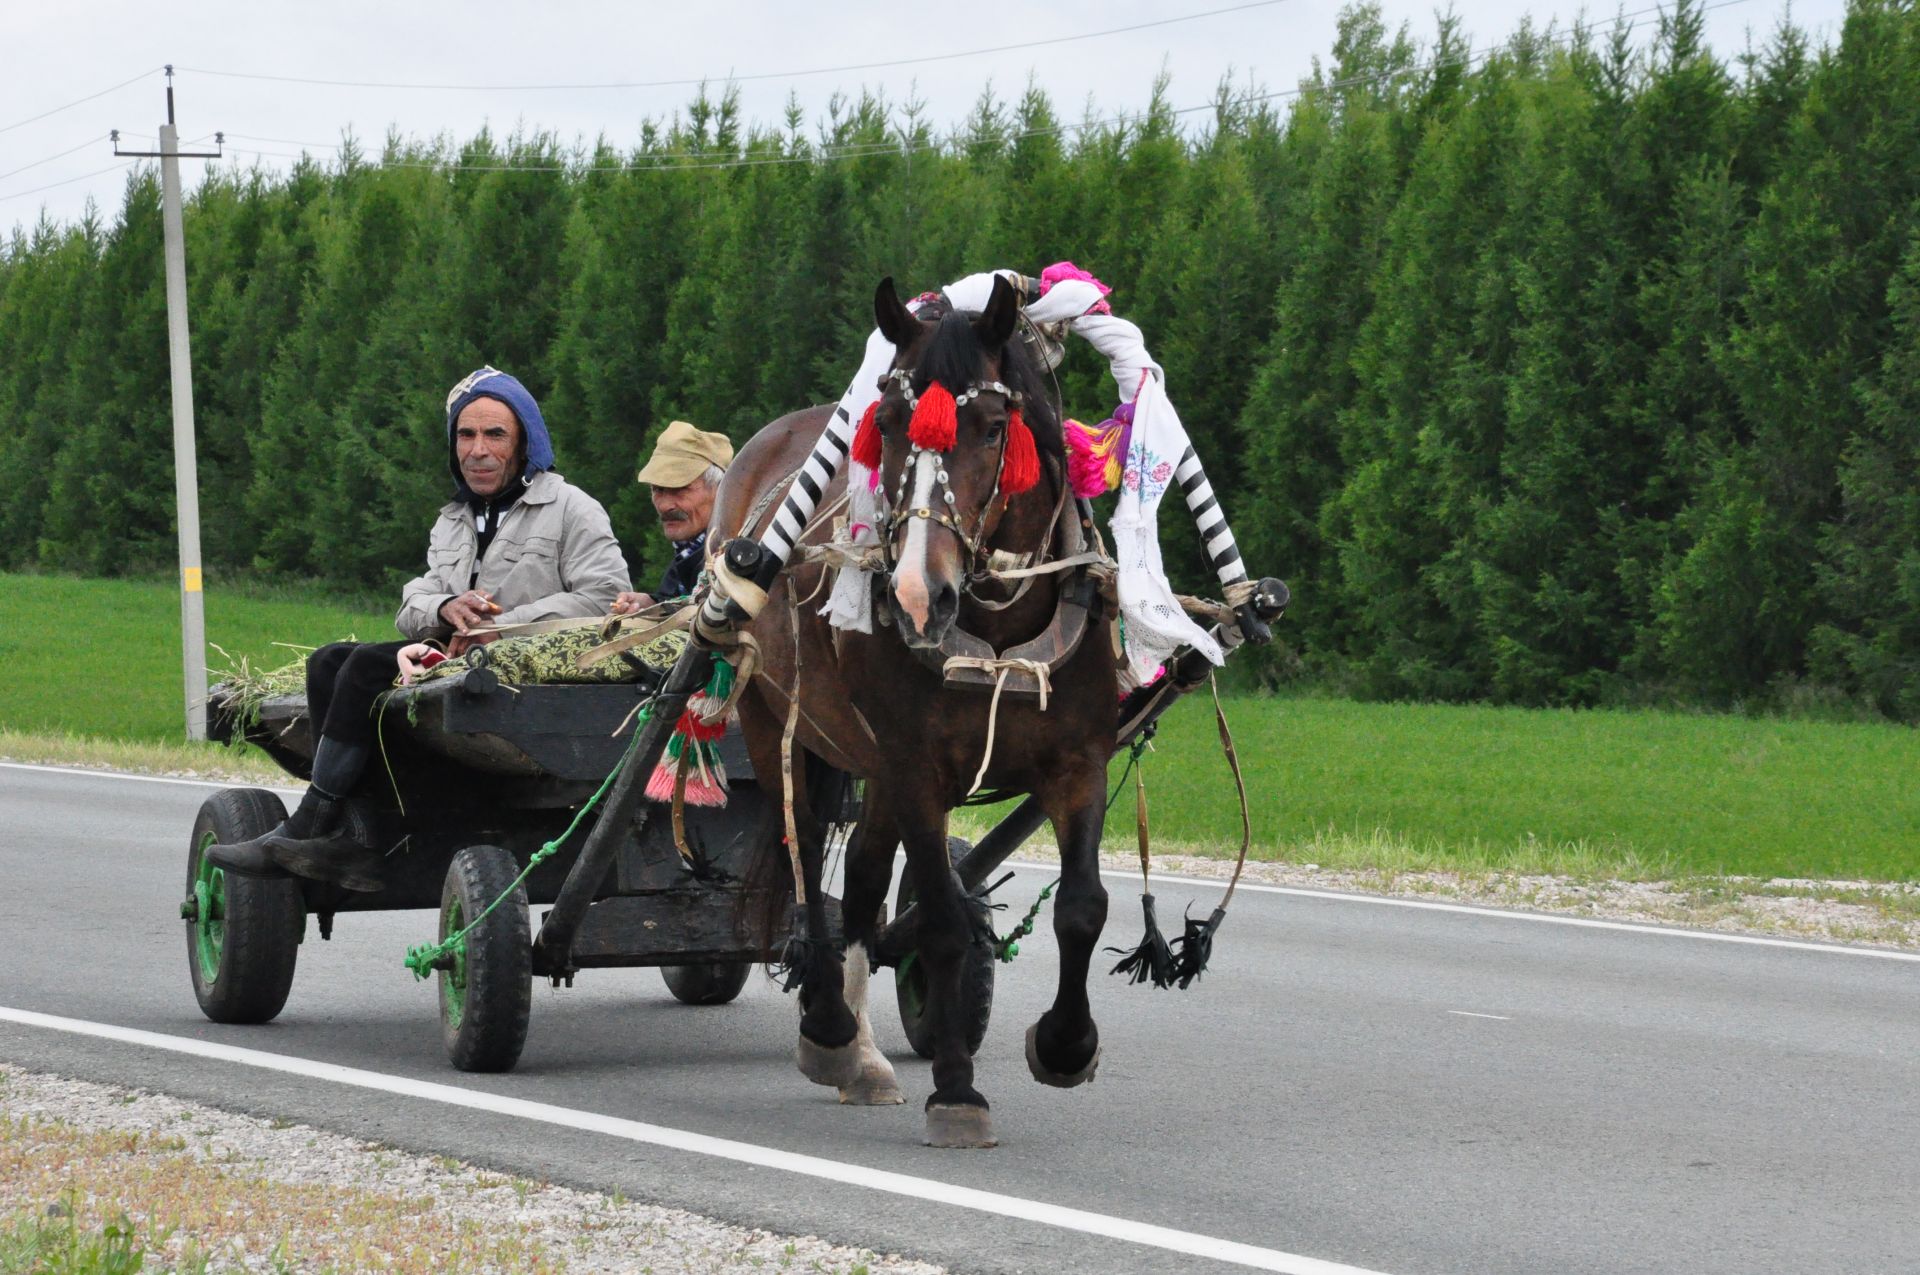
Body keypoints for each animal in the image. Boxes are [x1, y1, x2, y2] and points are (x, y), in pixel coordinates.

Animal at [714, 274, 1121, 1152]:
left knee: (864, 886)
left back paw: (860, 1053)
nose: (913, 592)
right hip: (775, 719)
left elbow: (1081, 907)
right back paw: (832, 1027)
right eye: (893, 425)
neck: (994, 635)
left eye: (994, 426)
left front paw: (1066, 1043)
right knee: (807, 867)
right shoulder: (915, 767)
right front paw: (958, 1089)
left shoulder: (1078, 761)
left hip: (870, 764)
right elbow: (939, 919)